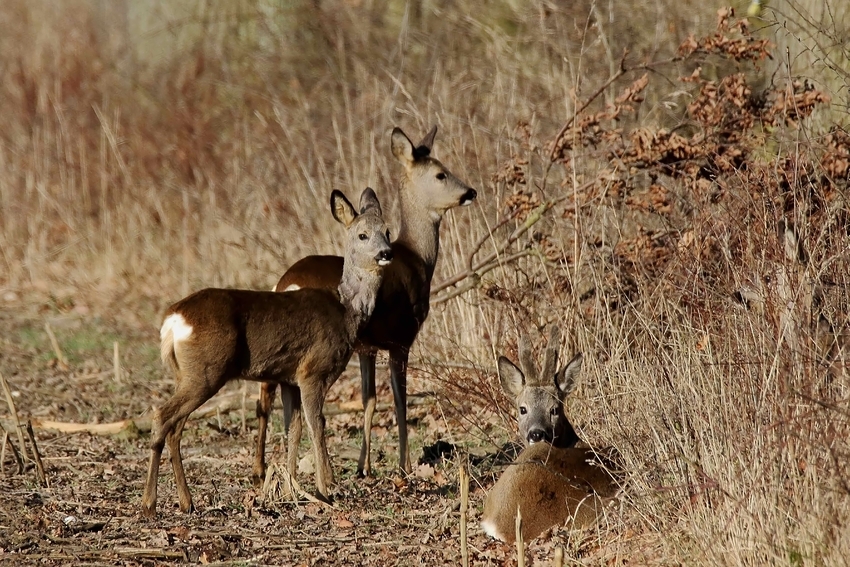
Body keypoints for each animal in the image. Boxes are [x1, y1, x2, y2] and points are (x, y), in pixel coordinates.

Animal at [140, 189, 390, 516]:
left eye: (387, 231)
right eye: (362, 235)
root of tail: (173, 320)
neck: (346, 311)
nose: (386, 253)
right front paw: (324, 491)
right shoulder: (313, 371)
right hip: (205, 372)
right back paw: (149, 503)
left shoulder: (288, 378)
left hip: (188, 375)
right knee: (162, 416)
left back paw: (186, 501)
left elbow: (293, 428)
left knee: (175, 426)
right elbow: (317, 424)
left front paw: (291, 487)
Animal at [252, 125, 476, 484]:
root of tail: (286, 282)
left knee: (265, 394)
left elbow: (368, 400)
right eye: (441, 173)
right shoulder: (401, 339)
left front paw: (363, 466)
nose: (470, 191)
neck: (418, 261)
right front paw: (404, 466)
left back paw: (261, 469)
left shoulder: (366, 346)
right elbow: (399, 401)